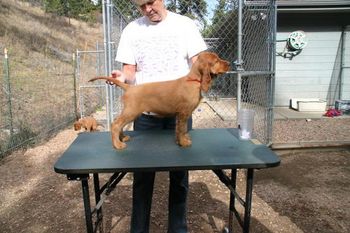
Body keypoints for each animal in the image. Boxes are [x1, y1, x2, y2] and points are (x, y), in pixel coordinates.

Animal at [89, 51, 230, 149]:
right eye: (216, 60)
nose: (229, 63)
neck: (193, 80)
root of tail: (130, 87)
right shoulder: (183, 112)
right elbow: (182, 129)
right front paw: (184, 143)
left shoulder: (180, 114)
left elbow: (179, 129)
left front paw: (181, 140)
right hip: (131, 111)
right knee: (116, 124)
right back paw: (117, 144)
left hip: (130, 112)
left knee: (120, 124)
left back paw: (122, 138)